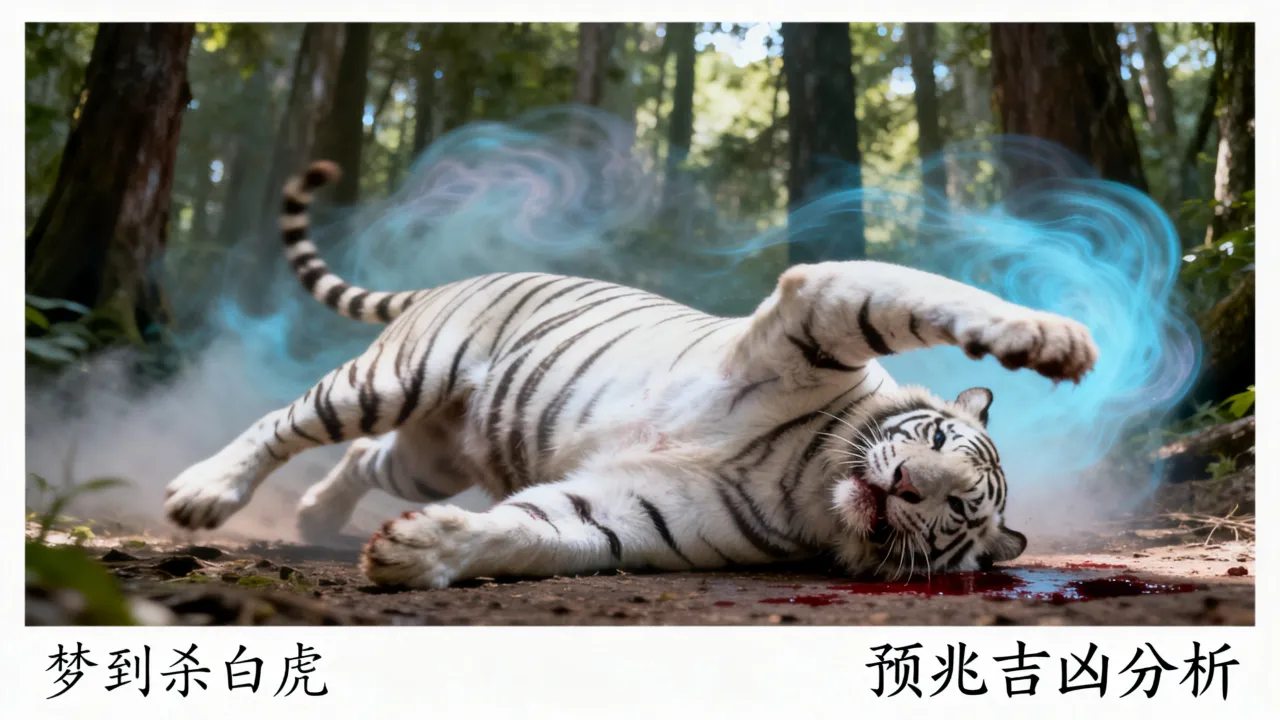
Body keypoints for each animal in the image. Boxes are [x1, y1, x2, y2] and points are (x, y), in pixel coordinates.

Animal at [164, 160, 1099, 589]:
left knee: (367, 458)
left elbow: (534, 531)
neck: (811, 475)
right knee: (288, 422)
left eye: (957, 510)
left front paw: (420, 550)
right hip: (400, 375)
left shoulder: (630, 515)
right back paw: (203, 492)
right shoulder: (821, 305)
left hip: (431, 456)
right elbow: (932, 296)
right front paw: (1051, 337)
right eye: (934, 439)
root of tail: (456, 280)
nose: (906, 484)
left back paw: (319, 517)